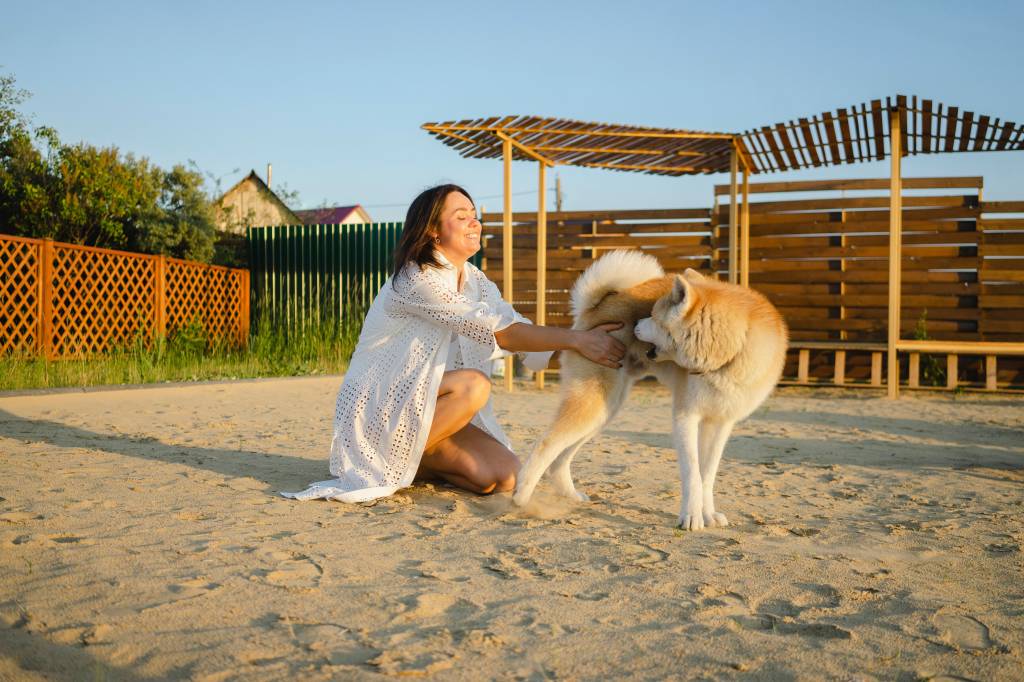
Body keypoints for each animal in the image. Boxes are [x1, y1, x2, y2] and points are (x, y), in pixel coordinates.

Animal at [516, 246, 786, 528]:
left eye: (654, 317)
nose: (635, 324)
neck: (731, 353)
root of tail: (594, 308)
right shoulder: (686, 417)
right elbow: (693, 474)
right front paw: (691, 517)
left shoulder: (721, 423)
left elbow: (707, 475)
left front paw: (708, 514)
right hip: (593, 404)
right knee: (546, 444)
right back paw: (521, 498)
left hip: (605, 410)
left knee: (560, 460)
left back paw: (568, 494)